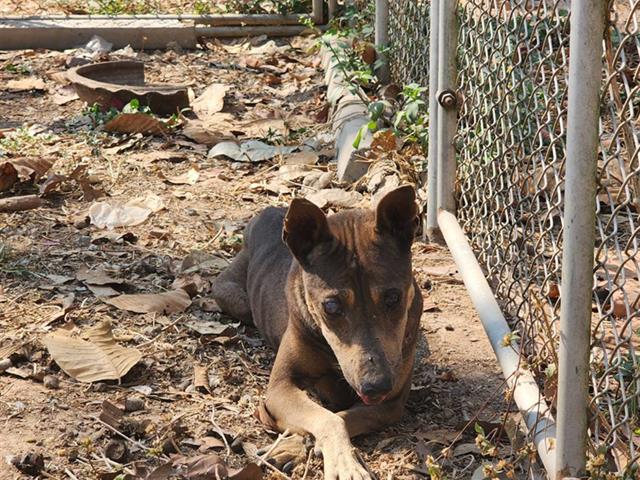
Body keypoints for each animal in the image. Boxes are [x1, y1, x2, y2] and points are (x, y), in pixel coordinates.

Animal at [212, 186, 422, 478]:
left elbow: (342, 417)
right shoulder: (280, 387)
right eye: (331, 306)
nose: (376, 386)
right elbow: (327, 418)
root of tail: (270, 210)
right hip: (233, 296)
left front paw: (297, 447)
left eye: (393, 297)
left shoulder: (391, 404)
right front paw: (344, 463)